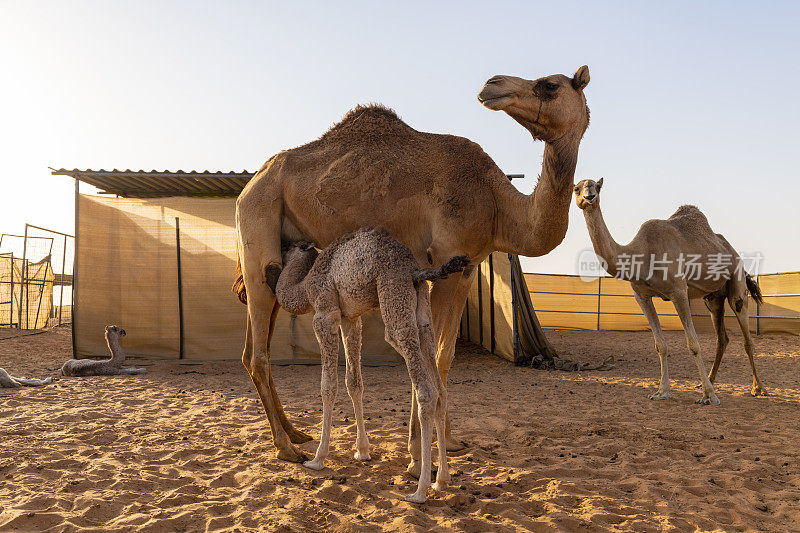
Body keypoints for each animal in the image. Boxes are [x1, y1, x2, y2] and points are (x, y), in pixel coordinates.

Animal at [234, 65, 592, 466]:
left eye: (550, 85)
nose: (491, 85)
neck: (498, 204)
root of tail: (249, 186)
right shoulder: (442, 263)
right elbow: (430, 353)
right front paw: (416, 452)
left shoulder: (467, 269)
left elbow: (446, 356)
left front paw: (449, 441)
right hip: (258, 228)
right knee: (259, 354)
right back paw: (286, 446)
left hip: (277, 260)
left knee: (253, 349)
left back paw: (296, 433)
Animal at [276, 228, 468, 502]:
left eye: (289, 247)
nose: (278, 251)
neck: (306, 283)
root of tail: (415, 271)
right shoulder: (350, 318)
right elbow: (354, 382)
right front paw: (362, 450)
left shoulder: (325, 313)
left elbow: (328, 386)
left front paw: (317, 458)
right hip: (422, 315)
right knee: (441, 390)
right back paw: (441, 480)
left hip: (394, 298)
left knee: (426, 392)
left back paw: (419, 490)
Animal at [572, 179, 764, 404]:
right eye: (576, 188)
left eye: (598, 186)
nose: (589, 196)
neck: (641, 253)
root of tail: (732, 251)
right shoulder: (642, 297)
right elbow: (660, 345)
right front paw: (662, 391)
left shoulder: (678, 291)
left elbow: (693, 344)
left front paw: (708, 396)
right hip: (713, 298)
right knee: (722, 338)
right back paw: (709, 381)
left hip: (737, 279)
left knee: (745, 332)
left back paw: (758, 388)